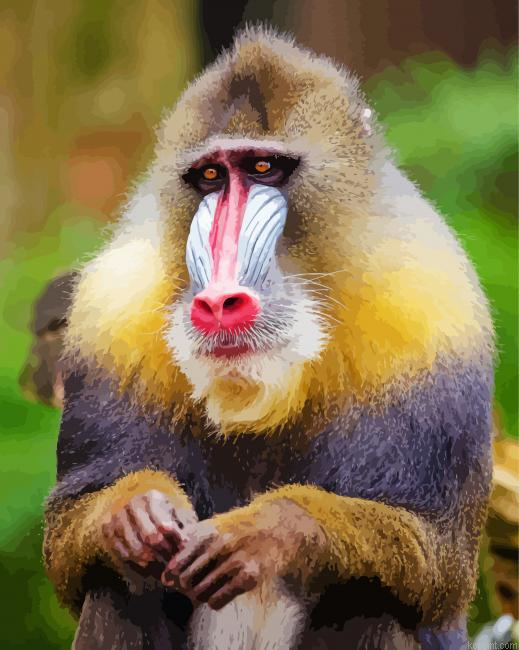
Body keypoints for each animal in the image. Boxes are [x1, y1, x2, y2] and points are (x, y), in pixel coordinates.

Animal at [43, 27, 494, 650]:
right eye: (211, 177)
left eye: (263, 167)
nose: (218, 303)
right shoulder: (109, 315)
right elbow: (69, 545)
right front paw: (133, 513)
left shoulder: (433, 318)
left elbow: (436, 562)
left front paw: (268, 531)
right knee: (118, 585)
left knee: (374, 596)